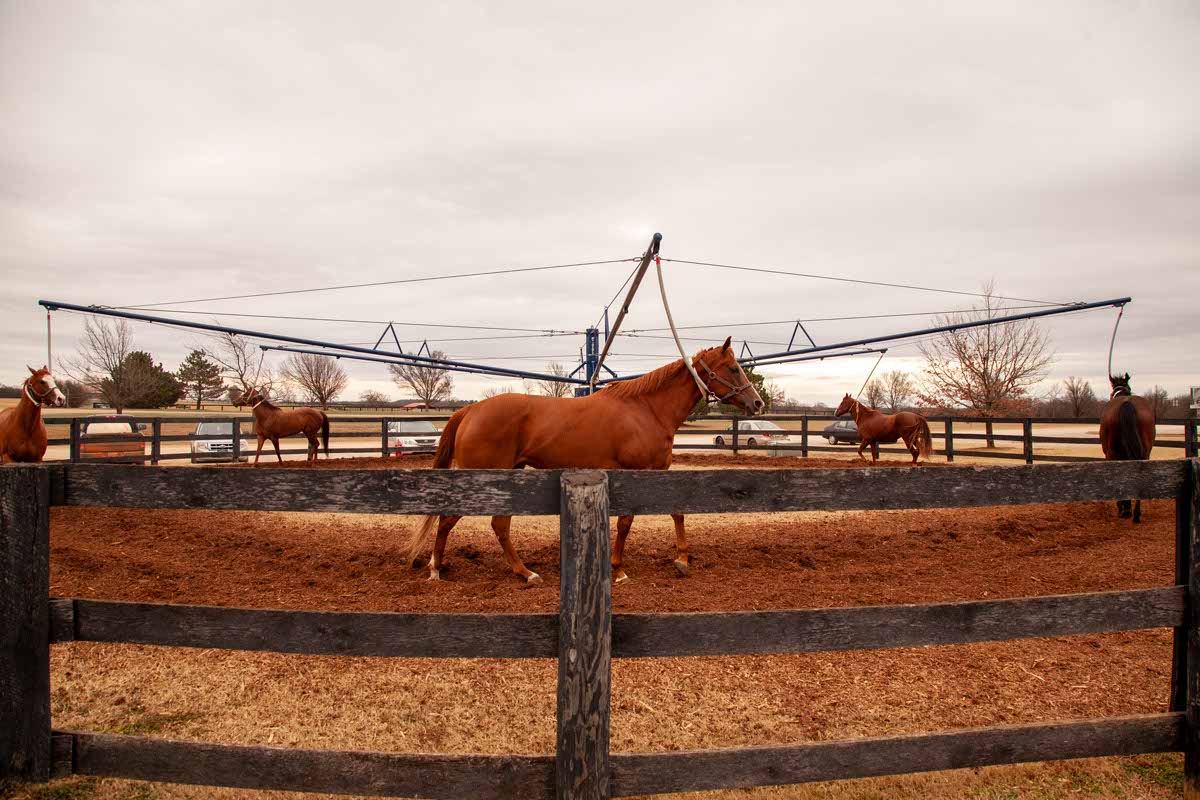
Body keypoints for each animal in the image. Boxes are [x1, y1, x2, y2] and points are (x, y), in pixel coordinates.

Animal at [403, 337, 763, 585]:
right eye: (733, 368)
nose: (757, 403)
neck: (646, 409)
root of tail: (471, 409)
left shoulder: (658, 472)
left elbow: (677, 511)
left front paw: (682, 561)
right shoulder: (636, 473)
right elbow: (626, 523)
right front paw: (619, 571)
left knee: (498, 525)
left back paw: (524, 573)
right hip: (481, 477)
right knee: (449, 519)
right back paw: (436, 570)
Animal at [1099, 373, 1156, 523]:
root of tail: (1126, 403)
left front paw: (1122, 507)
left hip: (1112, 454)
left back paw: (1127, 511)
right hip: (1145, 453)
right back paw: (1136, 514)